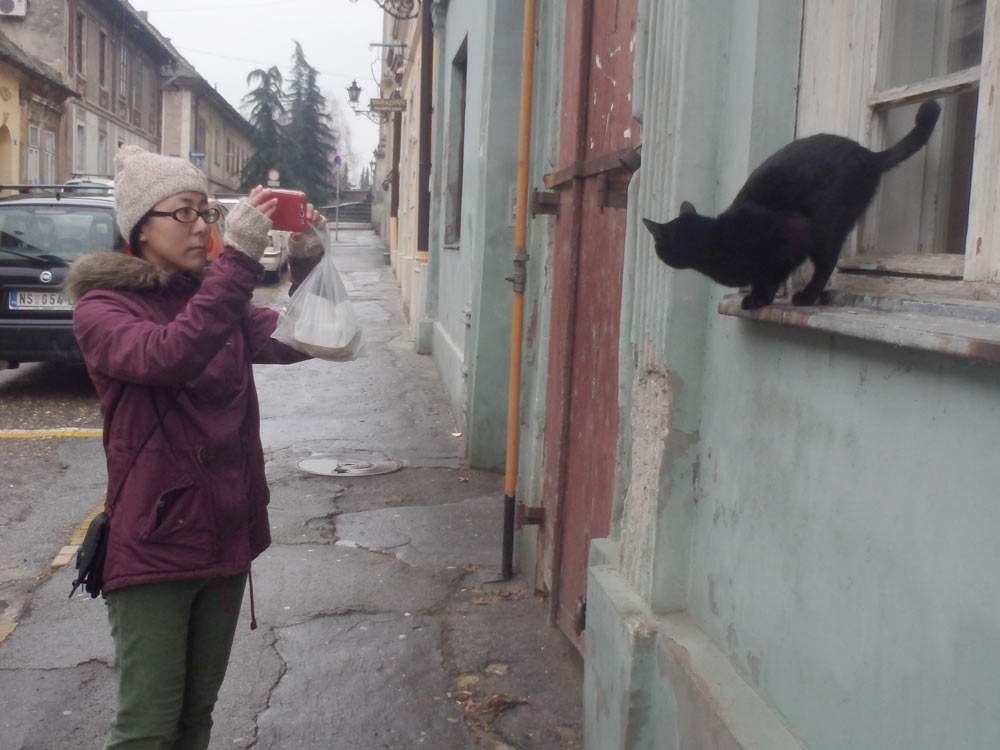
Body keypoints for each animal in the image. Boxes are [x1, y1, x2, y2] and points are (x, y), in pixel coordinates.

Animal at [644, 101, 940, 310]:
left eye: (658, 246)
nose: (656, 255)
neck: (715, 239)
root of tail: (868, 155)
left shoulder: (792, 237)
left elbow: (772, 274)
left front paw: (759, 299)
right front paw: (757, 296)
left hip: (826, 226)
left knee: (826, 263)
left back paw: (807, 296)